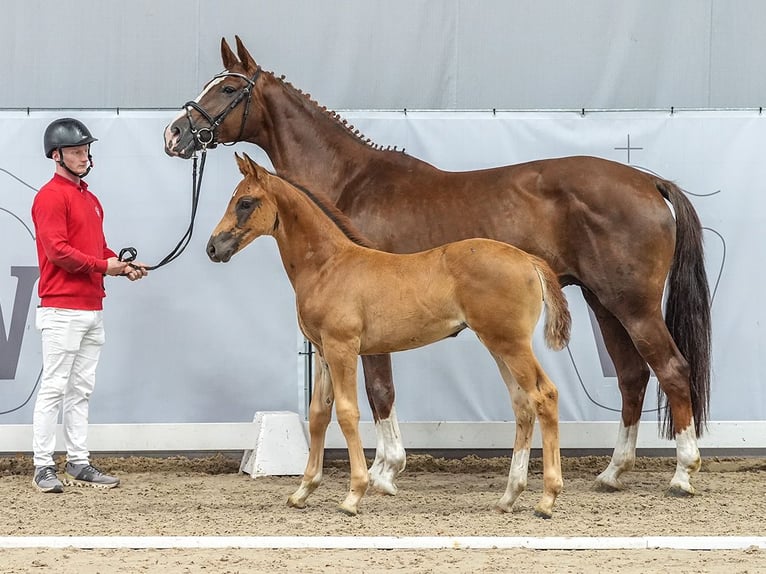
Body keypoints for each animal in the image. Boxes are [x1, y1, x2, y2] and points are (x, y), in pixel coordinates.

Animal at [207, 152, 572, 516]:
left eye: (245, 202)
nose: (213, 247)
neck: (328, 265)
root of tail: (528, 260)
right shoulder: (323, 352)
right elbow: (318, 415)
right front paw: (303, 491)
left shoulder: (343, 347)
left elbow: (347, 413)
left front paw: (354, 495)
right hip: (497, 346)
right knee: (522, 405)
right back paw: (509, 496)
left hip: (511, 345)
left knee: (545, 395)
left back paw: (547, 498)